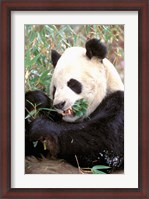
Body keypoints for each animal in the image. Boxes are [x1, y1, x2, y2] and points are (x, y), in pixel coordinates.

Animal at [25, 38, 124, 173]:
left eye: (72, 84)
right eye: (54, 89)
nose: (59, 104)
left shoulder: (118, 105)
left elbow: (104, 145)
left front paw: (41, 127)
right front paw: (36, 100)